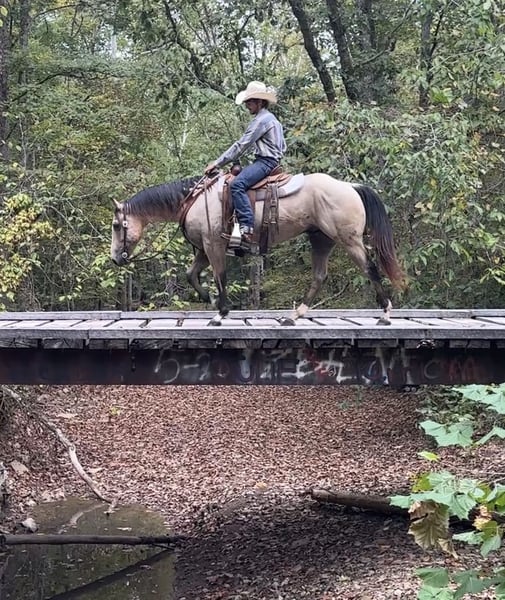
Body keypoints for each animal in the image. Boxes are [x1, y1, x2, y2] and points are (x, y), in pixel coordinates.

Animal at [110, 172, 406, 325]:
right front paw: (211, 301)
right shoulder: (203, 250)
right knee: (319, 276)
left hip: (349, 240)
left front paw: (220, 313)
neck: (195, 199)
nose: (114, 259)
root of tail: (350, 186)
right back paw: (294, 316)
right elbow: (191, 275)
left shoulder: (213, 245)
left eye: (116, 225)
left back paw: (385, 314)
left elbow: (220, 276)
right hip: (321, 240)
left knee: (370, 268)